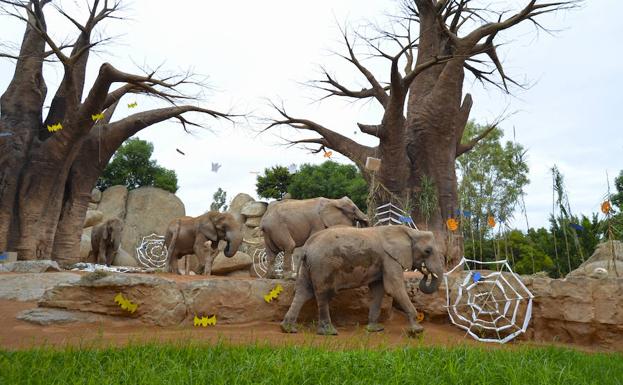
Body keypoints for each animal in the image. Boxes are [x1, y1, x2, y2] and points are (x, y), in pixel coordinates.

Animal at [280, 225, 442, 336]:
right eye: (427, 251)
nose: (425, 272)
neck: (410, 232)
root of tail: (306, 247)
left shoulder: (383, 261)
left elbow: (378, 290)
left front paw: (375, 330)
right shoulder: (390, 258)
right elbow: (394, 288)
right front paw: (417, 331)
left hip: (310, 266)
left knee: (303, 292)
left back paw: (288, 329)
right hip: (323, 265)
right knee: (323, 294)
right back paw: (329, 332)